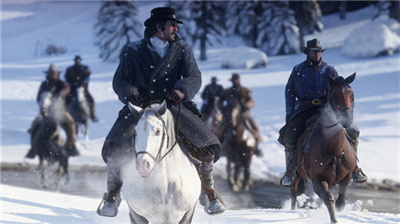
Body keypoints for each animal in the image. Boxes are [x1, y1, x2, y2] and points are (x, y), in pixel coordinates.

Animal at [290, 73, 358, 222]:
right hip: (297, 172)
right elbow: (328, 198)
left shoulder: (347, 176)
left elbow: (340, 201)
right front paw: (334, 220)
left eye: (352, 95)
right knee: (293, 189)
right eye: (334, 95)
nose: (346, 119)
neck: (335, 150)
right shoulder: (317, 179)